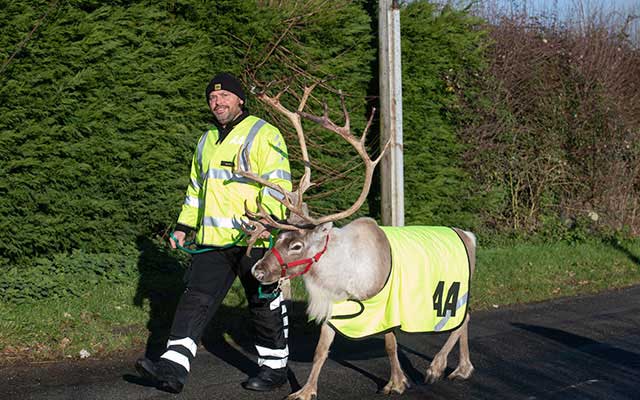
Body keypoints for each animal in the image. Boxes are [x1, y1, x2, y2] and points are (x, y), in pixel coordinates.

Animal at [234, 81, 476, 400]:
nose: (258, 270)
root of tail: (469, 236)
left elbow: (390, 343)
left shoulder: (386, 303)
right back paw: (462, 368)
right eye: (277, 237)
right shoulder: (334, 309)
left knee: (460, 321)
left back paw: (438, 368)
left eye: (296, 245)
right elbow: (321, 351)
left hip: (453, 293)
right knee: (466, 319)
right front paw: (306, 391)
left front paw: (396, 382)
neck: (339, 276)